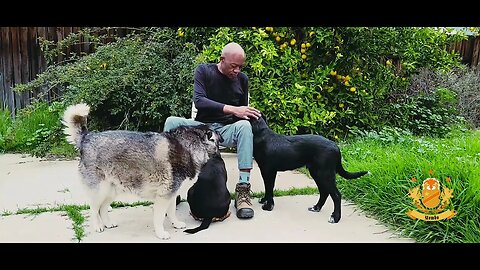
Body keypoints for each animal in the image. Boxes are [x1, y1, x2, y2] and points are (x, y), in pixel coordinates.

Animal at [61, 103, 223, 238]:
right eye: (217, 141)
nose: (219, 152)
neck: (189, 147)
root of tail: (87, 137)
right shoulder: (164, 196)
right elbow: (159, 217)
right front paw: (161, 233)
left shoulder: (171, 194)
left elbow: (171, 212)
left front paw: (176, 224)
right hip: (100, 190)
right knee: (94, 209)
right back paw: (98, 226)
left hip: (112, 190)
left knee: (103, 208)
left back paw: (107, 223)